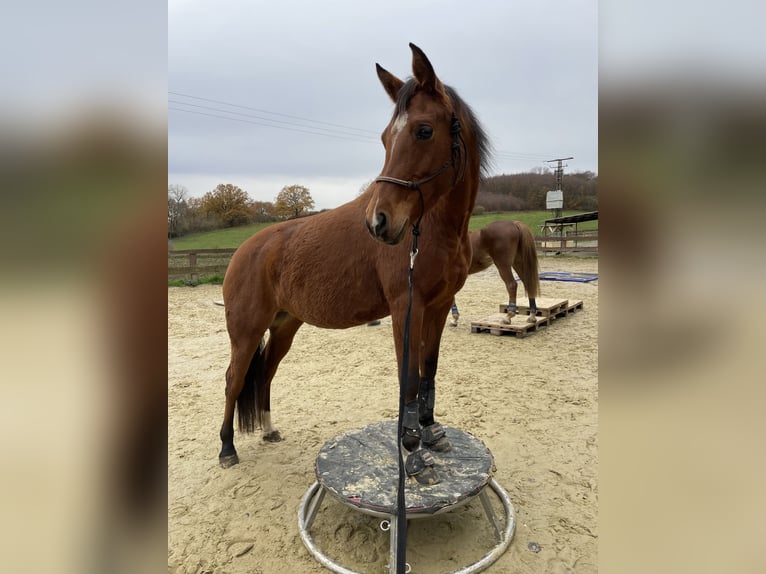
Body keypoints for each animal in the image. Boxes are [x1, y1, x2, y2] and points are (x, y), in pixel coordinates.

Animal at [219, 42, 492, 488]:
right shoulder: (406, 308)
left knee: (266, 374)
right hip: (246, 332)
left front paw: (432, 434)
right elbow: (408, 382)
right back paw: (227, 448)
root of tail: (246, 250)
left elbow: (429, 373)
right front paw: (414, 457)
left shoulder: (437, 308)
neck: (432, 228)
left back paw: (269, 429)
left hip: (284, 326)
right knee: (234, 380)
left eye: (423, 130)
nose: (378, 222)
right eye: (385, 138)